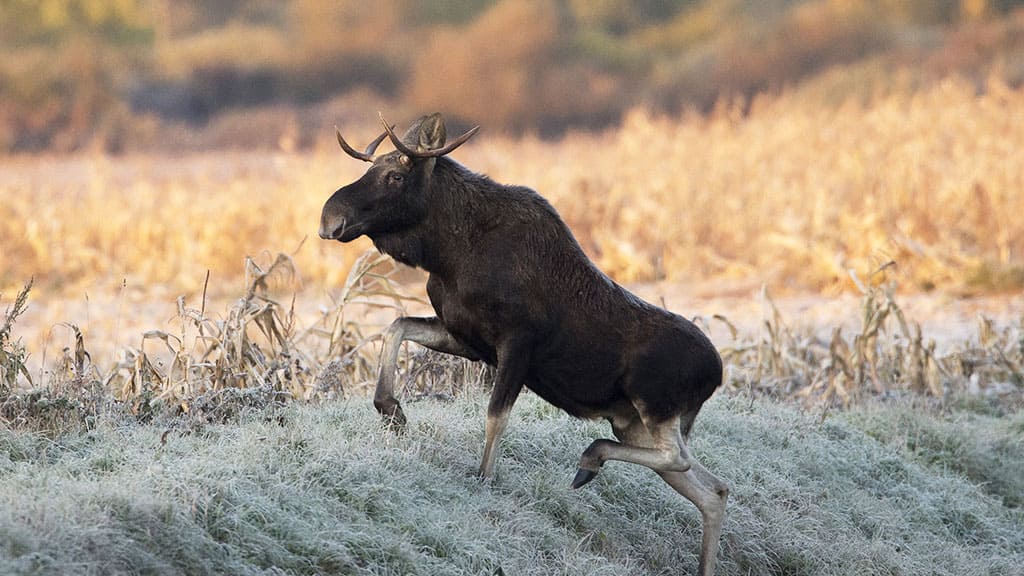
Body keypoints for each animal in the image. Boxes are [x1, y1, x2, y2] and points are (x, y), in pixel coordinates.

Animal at [319, 113, 729, 573]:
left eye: (395, 175)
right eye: (371, 167)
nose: (329, 218)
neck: (447, 254)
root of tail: (717, 373)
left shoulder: (517, 343)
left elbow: (495, 417)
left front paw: (483, 479)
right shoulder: (466, 336)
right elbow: (396, 325)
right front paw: (391, 410)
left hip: (653, 407)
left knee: (681, 460)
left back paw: (590, 459)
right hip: (635, 422)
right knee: (714, 491)